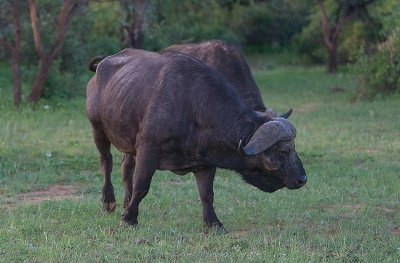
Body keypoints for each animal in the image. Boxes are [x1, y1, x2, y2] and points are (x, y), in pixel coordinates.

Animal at [86, 48, 306, 232]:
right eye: (282, 151)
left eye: (294, 148)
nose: (302, 179)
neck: (193, 109)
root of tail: (103, 64)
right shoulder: (148, 150)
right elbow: (142, 186)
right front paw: (129, 219)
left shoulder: (205, 162)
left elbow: (207, 195)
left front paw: (214, 223)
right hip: (98, 130)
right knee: (106, 162)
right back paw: (109, 201)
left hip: (129, 144)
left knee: (125, 167)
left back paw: (126, 201)